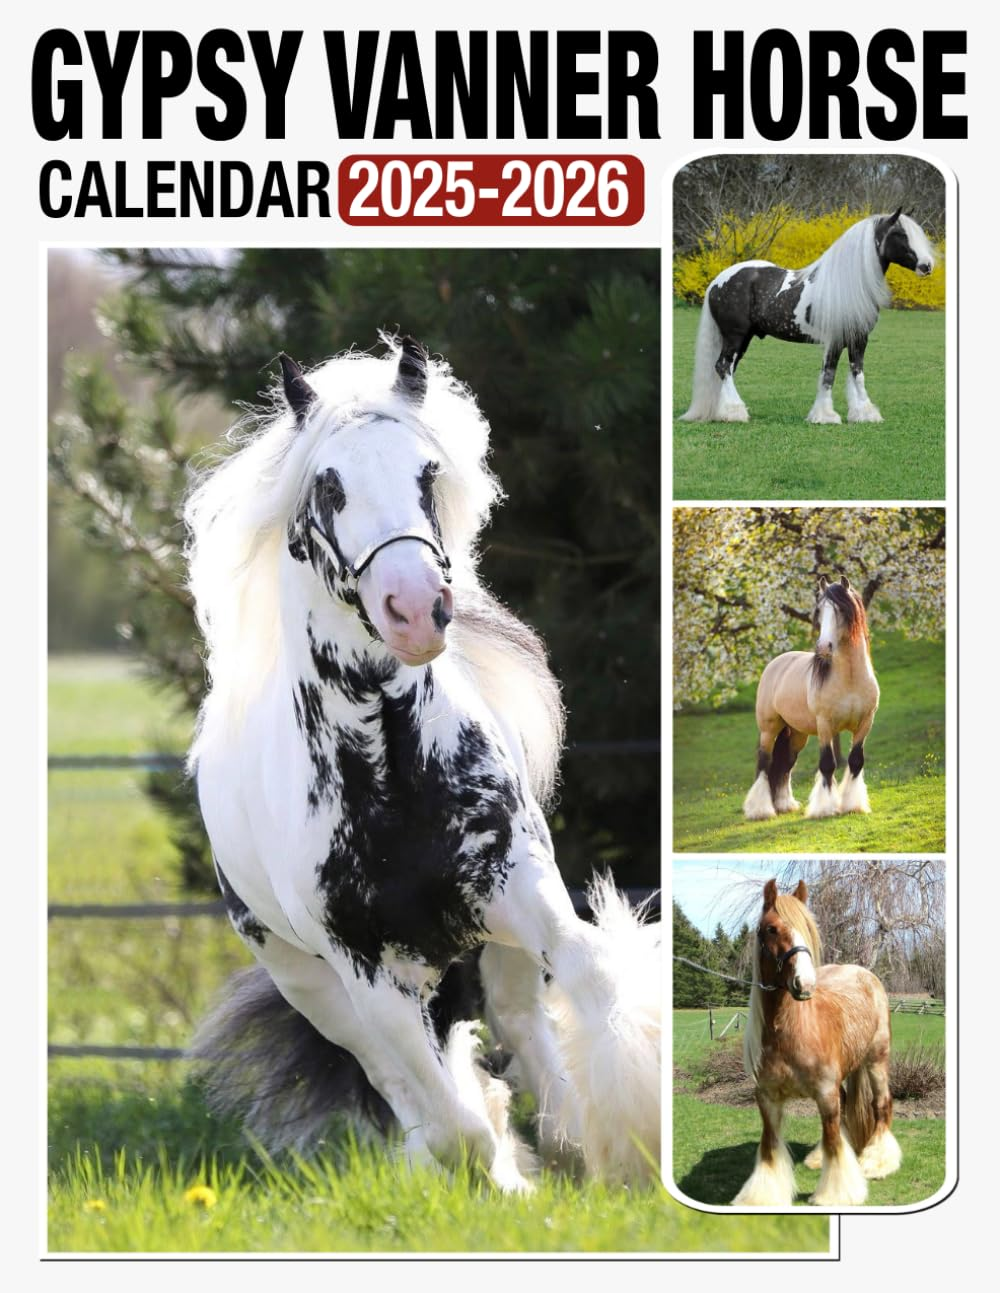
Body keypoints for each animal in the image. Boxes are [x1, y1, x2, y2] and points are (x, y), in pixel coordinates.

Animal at [185, 336, 661, 1192]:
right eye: (329, 486)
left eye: (428, 473)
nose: (415, 609)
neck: (391, 765)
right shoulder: (366, 967)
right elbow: (453, 1124)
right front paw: (506, 1177)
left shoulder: (520, 888)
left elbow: (594, 980)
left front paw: (631, 1145)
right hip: (311, 981)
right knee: (402, 1078)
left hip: (493, 944)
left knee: (518, 1019)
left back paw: (569, 1138)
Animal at [679, 209, 936, 424]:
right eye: (900, 234)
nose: (927, 266)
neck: (847, 284)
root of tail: (718, 280)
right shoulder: (835, 340)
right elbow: (828, 374)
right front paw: (825, 416)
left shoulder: (859, 339)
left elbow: (857, 374)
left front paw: (864, 413)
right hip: (735, 335)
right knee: (723, 366)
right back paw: (735, 412)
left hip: (743, 338)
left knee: (727, 368)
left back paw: (720, 412)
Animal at [733, 878, 901, 1207]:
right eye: (771, 929)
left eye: (808, 927)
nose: (805, 984)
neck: (790, 1033)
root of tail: (864, 973)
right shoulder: (767, 1099)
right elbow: (770, 1148)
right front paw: (762, 1197)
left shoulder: (825, 1095)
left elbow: (834, 1142)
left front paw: (835, 1194)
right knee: (848, 1104)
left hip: (877, 1061)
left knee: (880, 1104)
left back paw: (877, 1161)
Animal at [743, 575, 879, 822]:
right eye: (819, 610)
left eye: (841, 610)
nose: (823, 647)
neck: (850, 680)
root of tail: (775, 664)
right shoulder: (825, 725)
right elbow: (827, 764)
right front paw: (824, 808)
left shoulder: (865, 723)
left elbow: (856, 762)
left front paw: (852, 805)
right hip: (769, 729)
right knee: (765, 763)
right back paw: (761, 810)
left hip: (797, 733)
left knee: (786, 764)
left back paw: (785, 805)